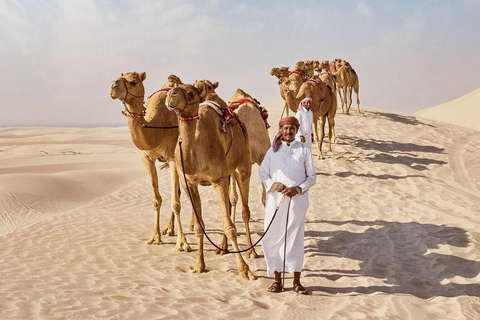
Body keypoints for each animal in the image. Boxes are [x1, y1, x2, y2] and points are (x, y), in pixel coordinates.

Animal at [109, 72, 190, 252]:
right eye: (119, 77)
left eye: (133, 82)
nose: (113, 87)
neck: (156, 126)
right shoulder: (146, 159)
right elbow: (156, 199)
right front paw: (155, 237)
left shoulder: (173, 158)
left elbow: (175, 202)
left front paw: (182, 243)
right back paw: (169, 229)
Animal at [168, 83, 258, 280]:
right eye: (175, 88)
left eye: (191, 93)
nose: (171, 94)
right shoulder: (190, 184)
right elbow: (199, 227)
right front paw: (199, 265)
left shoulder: (218, 180)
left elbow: (230, 228)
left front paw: (245, 270)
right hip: (230, 173)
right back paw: (222, 248)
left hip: (243, 166)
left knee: (245, 210)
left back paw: (252, 251)